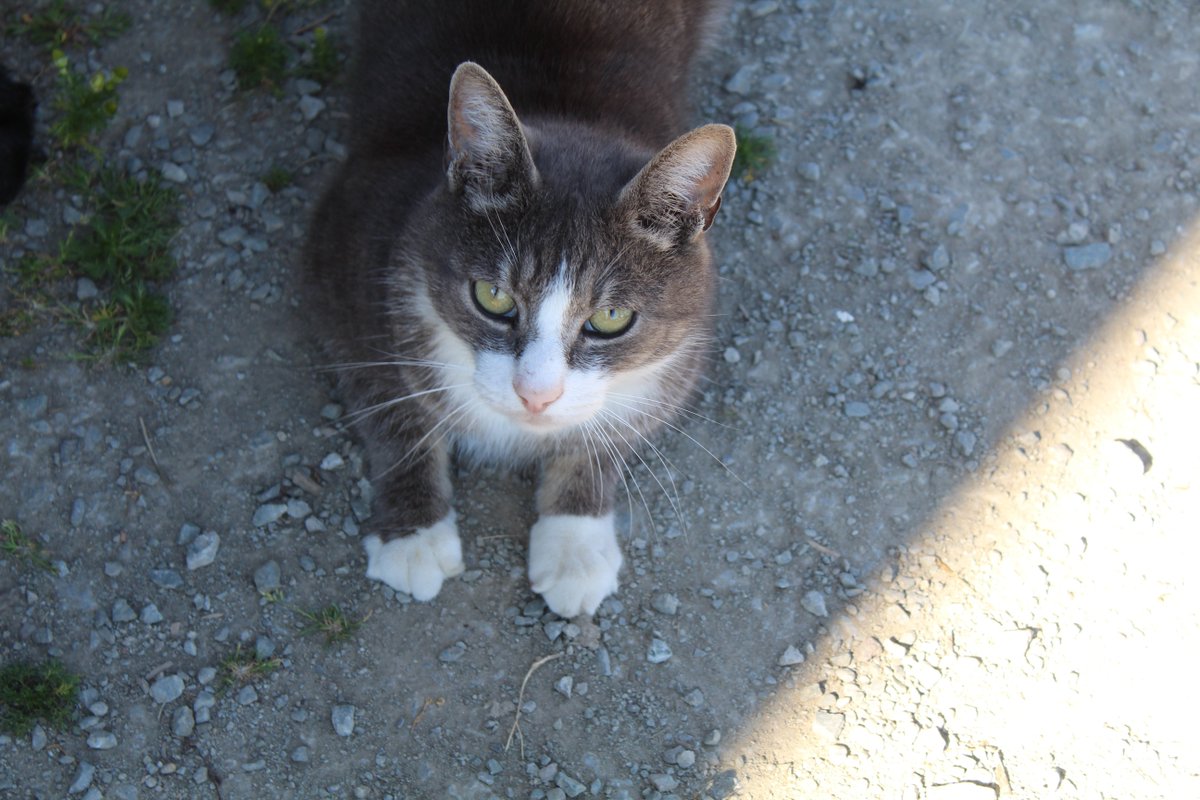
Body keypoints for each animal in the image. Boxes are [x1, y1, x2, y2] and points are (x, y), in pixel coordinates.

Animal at [304, 0, 734, 618]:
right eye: (493, 297)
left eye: (610, 320)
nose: (536, 395)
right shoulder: (343, 257)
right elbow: (391, 402)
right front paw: (414, 535)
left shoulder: (683, 353)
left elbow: (611, 432)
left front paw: (575, 544)